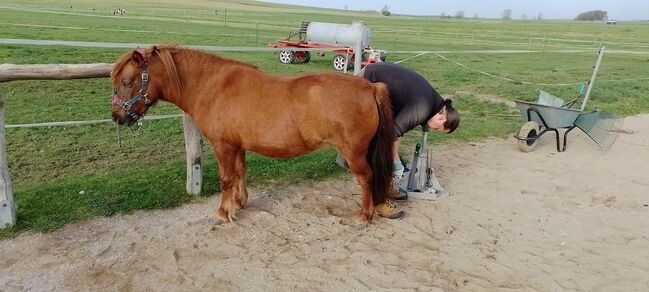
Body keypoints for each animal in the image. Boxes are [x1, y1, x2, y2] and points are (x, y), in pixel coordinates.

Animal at [110, 45, 394, 225]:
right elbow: (240, 173)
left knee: (367, 178)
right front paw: (239, 203)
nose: (117, 117)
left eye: (127, 82)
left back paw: (363, 217)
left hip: (354, 153)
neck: (213, 86)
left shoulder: (223, 146)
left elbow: (226, 178)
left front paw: (222, 213)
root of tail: (369, 87)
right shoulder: (237, 145)